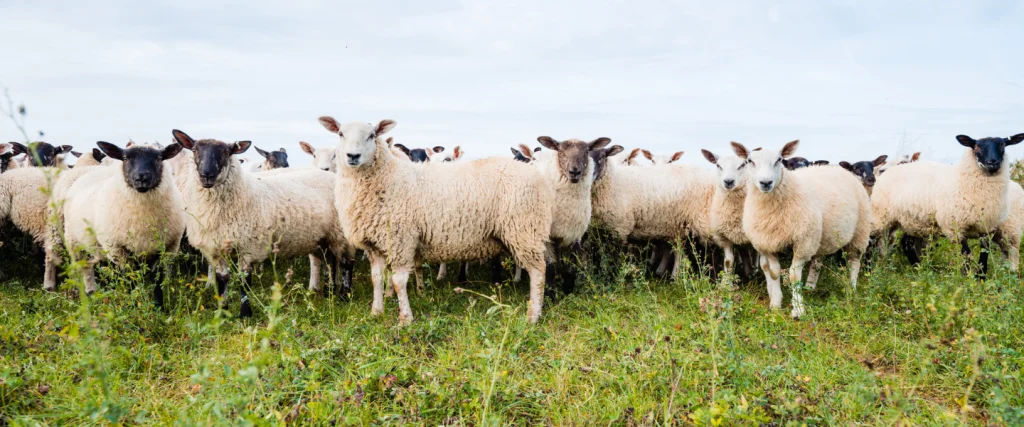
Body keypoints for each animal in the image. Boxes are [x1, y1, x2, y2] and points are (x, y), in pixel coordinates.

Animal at [57, 142, 185, 302]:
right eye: (125, 158)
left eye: (158, 158)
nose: (141, 178)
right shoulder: (118, 249)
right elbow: (131, 279)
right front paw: (135, 302)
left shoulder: (168, 248)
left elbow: (158, 281)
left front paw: (158, 305)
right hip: (74, 242)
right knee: (82, 269)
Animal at [171, 129, 354, 318]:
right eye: (194, 150)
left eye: (226, 153)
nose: (207, 175)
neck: (241, 191)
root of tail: (331, 175)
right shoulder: (217, 248)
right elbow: (222, 280)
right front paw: (222, 312)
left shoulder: (248, 247)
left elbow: (244, 281)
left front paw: (245, 314)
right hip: (324, 236)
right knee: (330, 262)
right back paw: (329, 291)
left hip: (341, 232)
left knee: (346, 263)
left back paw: (344, 296)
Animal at [321, 117, 552, 325]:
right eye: (340, 134)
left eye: (371, 135)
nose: (353, 155)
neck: (387, 177)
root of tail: (536, 175)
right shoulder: (374, 244)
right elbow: (376, 279)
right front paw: (376, 312)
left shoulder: (402, 239)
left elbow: (398, 282)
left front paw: (405, 319)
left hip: (524, 228)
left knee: (538, 271)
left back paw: (534, 315)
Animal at [741, 140, 871, 318]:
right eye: (750, 161)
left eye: (779, 160)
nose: (766, 183)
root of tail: (838, 168)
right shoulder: (768, 243)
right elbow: (774, 272)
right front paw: (776, 304)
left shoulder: (803, 242)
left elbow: (794, 276)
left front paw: (798, 309)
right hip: (822, 236)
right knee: (817, 262)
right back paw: (810, 286)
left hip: (859, 232)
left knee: (854, 262)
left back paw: (851, 289)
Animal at [872, 134, 1023, 276]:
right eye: (977, 146)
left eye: (1003, 144)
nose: (993, 162)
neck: (963, 179)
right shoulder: (955, 226)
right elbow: (966, 254)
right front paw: (968, 276)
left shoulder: (987, 226)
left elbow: (983, 253)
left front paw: (980, 276)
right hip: (896, 218)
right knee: (895, 242)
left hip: (1010, 230)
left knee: (1011, 252)